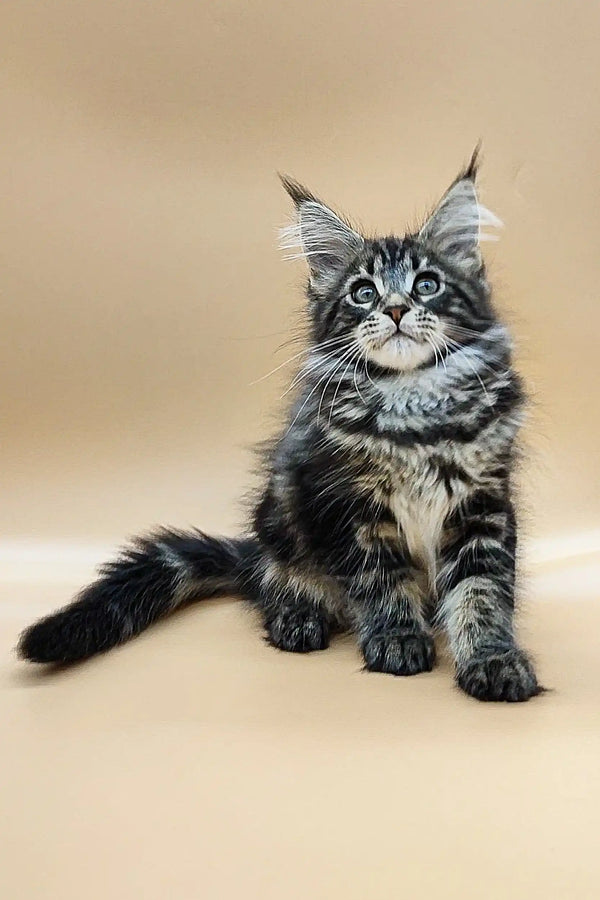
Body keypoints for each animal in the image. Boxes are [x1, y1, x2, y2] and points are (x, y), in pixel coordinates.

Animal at [19, 153, 544, 704]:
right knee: (276, 585)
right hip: (279, 522)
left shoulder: (482, 504)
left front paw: (493, 659)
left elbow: (482, 592)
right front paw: (397, 637)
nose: (396, 309)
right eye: (363, 293)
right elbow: (380, 580)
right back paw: (298, 616)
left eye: (427, 284)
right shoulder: (343, 504)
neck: (413, 405)